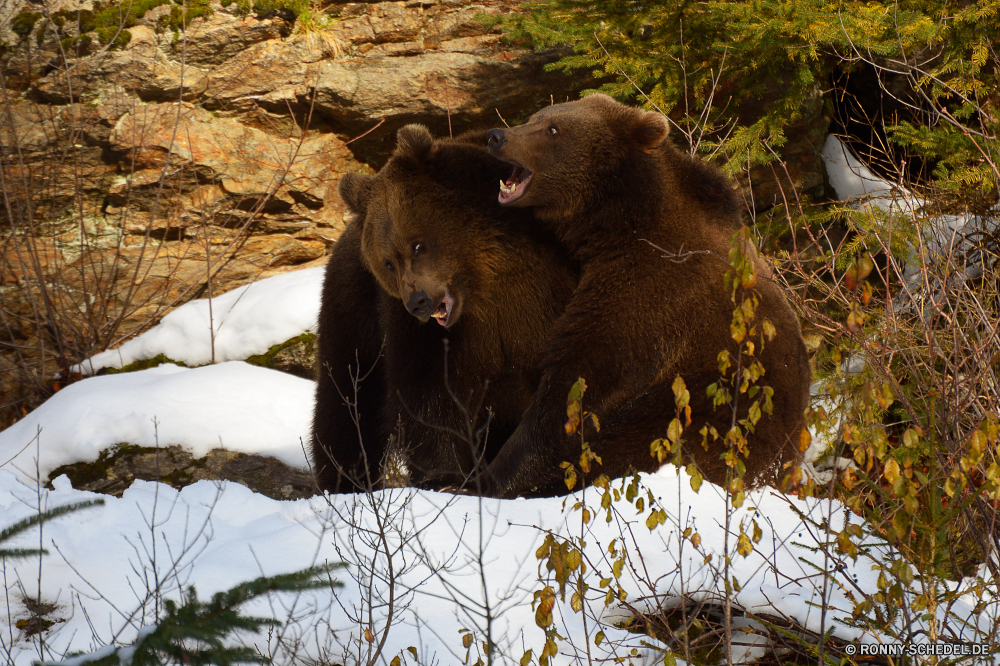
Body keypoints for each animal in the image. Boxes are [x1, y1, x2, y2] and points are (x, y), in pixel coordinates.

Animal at [312, 124, 580, 490]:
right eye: (388, 262)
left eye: (417, 244)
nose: (419, 302)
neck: (486, 284)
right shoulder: (416, 329)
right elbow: (429, 393)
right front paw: (446, 477)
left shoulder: (543, 296)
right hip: (353, 308)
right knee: (347, 398)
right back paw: (346, 480)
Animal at [480, 94, 816, 498]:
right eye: (534, 117)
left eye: (554, 129)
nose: (497, 135)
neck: (619, 223)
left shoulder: (652, 295)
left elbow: (576, 387)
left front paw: (493, 474)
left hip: (718, 408)